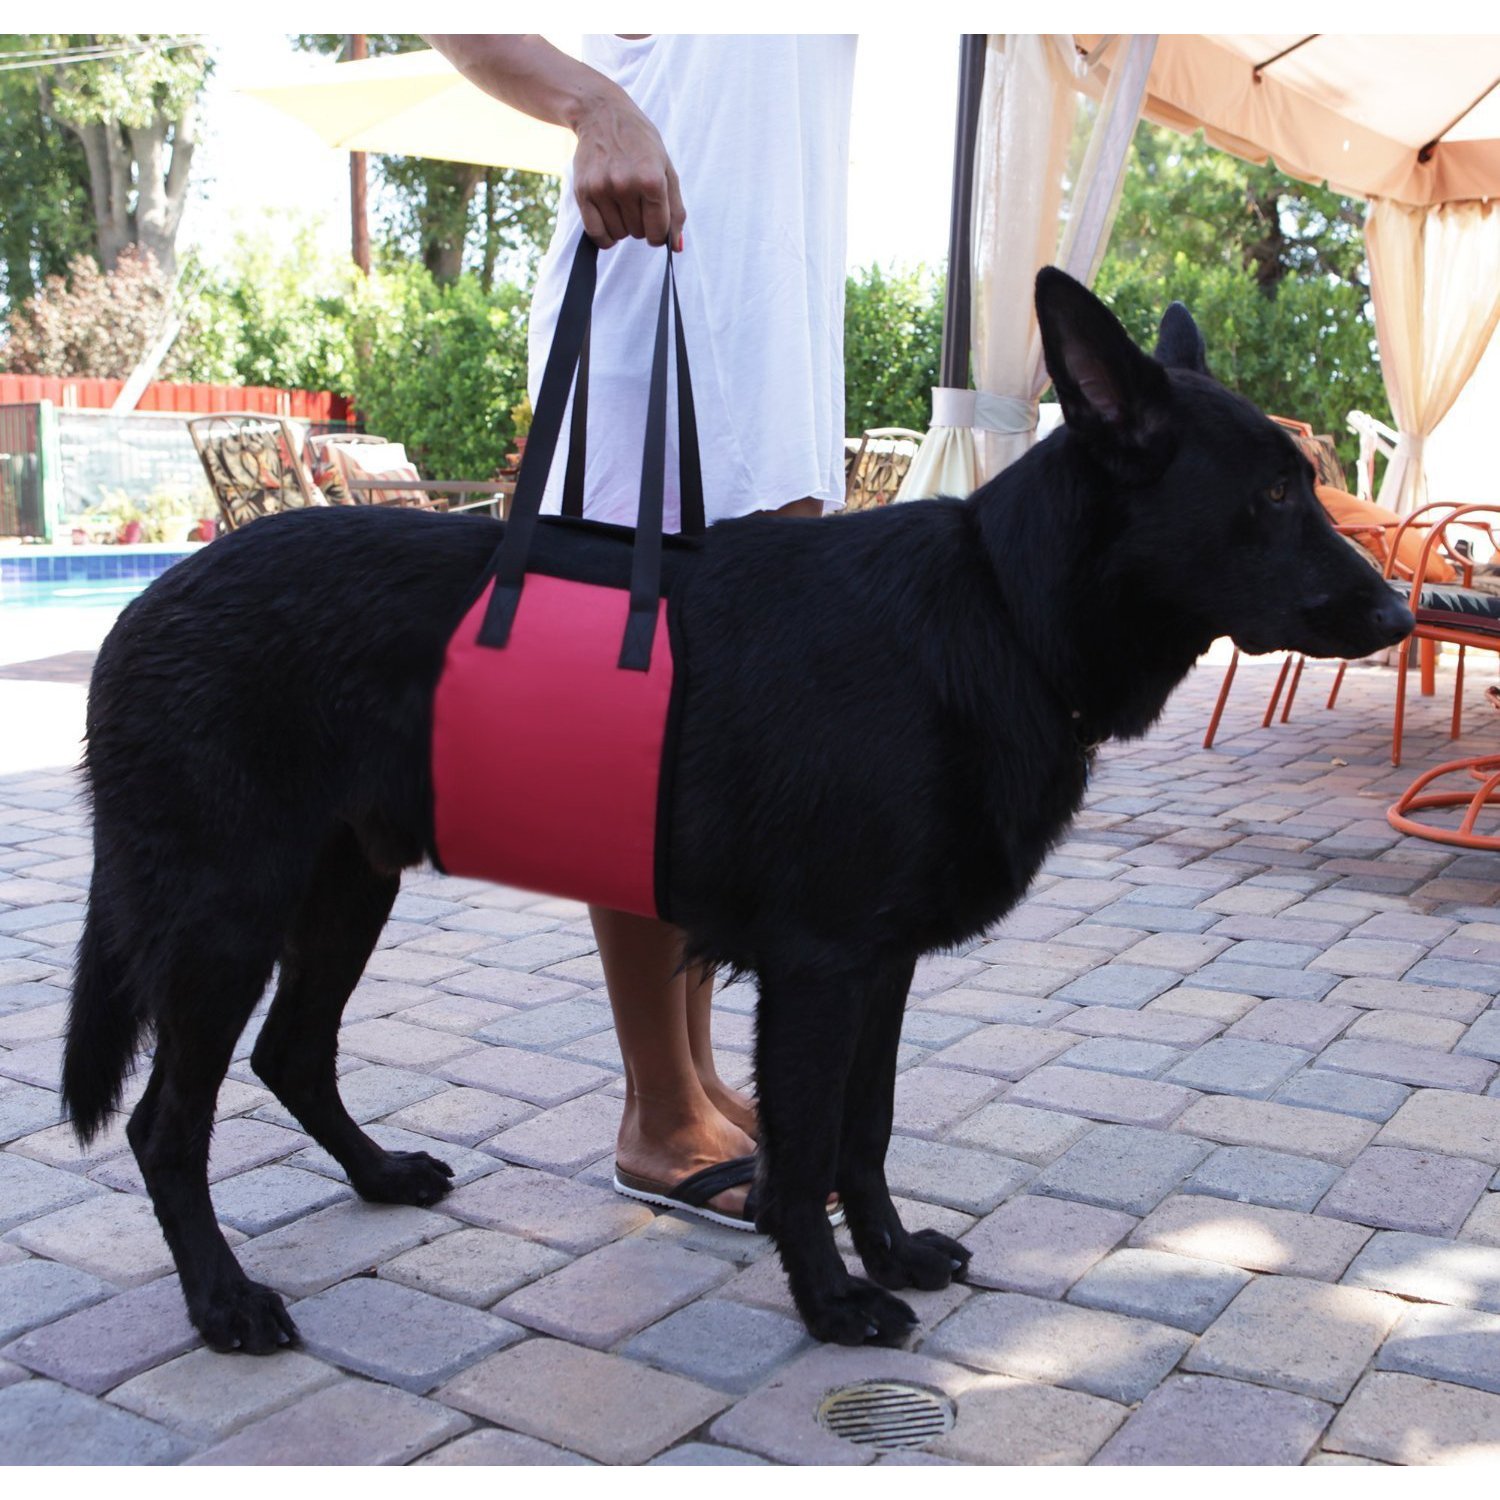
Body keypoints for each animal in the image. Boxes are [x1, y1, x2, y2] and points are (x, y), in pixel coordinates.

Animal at [63, 270, 1412, 1353]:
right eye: (1275, 497)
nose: (1403, 613)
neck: (997, 608)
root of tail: (147, 602)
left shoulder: (879, 969)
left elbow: (865, 1132)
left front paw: (890, 1252)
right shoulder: (820, 970)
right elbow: (807, 1152)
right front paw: (833, 1301)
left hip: (346, 891)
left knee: (292, 1055)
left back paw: (379, 1176)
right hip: (225, 924)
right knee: (166, 1128)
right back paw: (223, 1302)